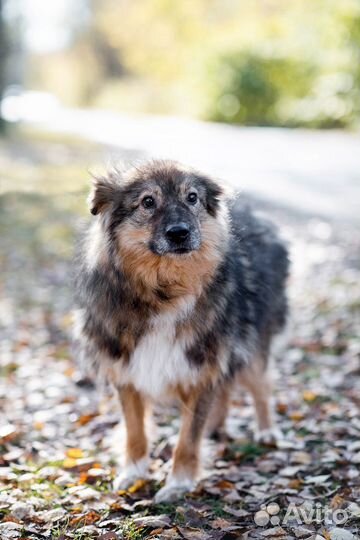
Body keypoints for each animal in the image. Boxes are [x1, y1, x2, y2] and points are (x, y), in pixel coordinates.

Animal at [74, 159, 290, 502]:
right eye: (148, 201)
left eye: (192, 198)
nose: (179, 233)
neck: (165, 291)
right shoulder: (127, 369)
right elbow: (135, 431)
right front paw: (134, 473)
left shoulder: (202, 367)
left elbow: (187, 438)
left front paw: (179, 483)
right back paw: (216, 428)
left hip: (251, 345)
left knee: (261, 386)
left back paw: (266, 430)